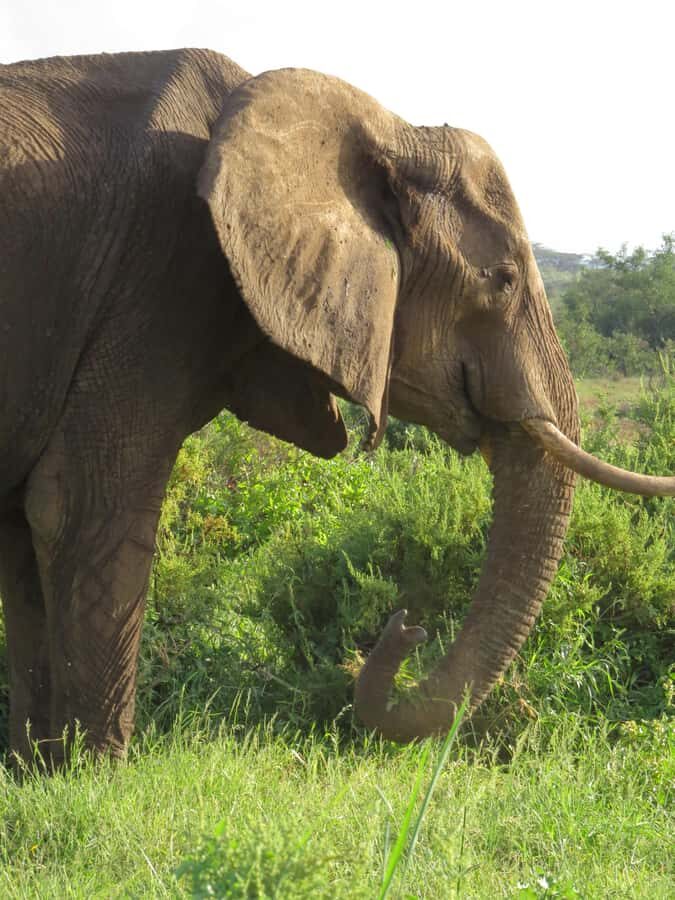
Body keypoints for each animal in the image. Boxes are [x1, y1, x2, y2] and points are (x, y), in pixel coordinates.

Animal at [0, 48, 672, 765]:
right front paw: (92, 774)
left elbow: (24, 527)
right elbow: (76, 506)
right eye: (504, 279)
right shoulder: (160, 275)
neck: (382, 127)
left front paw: (36, 772)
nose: (406, 625)